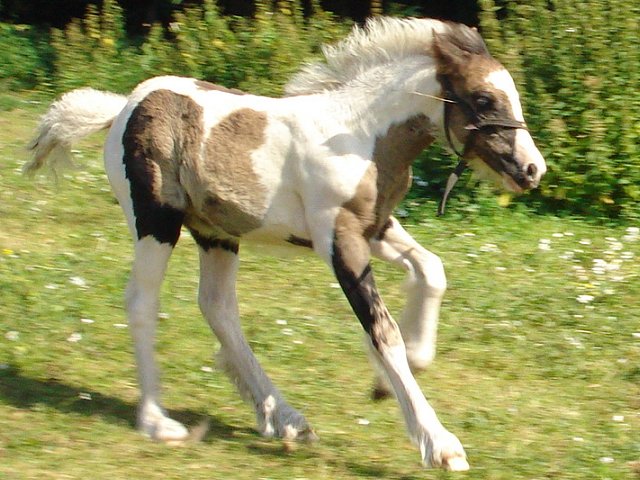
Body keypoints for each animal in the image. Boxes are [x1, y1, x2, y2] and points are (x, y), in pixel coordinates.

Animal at [25, 16, 546, 471]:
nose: (532, 169)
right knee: (142, 302)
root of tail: (123, 107)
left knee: (217, 307)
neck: (361, 136)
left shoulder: (374, 228)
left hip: (216, 233)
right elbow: (383, 331)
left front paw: (392, 379)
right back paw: (159, 422)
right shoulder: (338, 239)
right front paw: (440, 445)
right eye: (483, 99)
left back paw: (285, 419)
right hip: (157, 221)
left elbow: (431, 271)